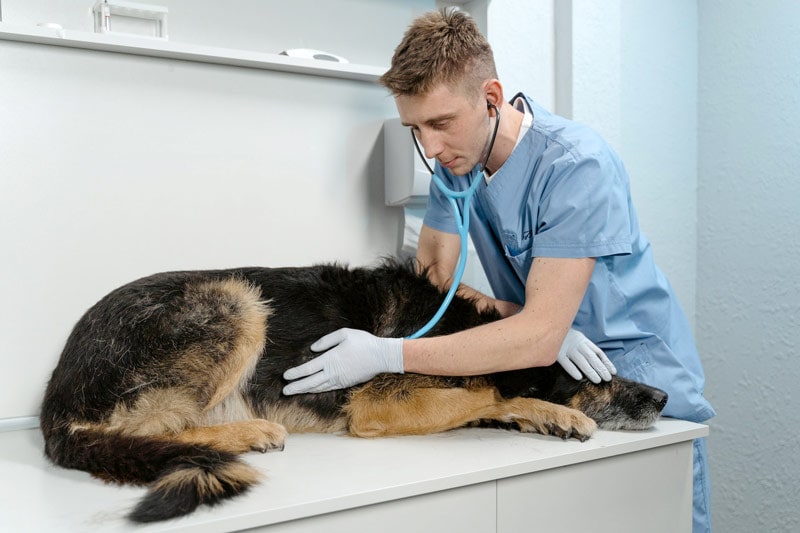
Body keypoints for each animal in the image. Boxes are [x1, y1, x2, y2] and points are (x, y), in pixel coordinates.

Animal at [42, 258, 668, 520]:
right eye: (597, 377)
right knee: (155, 427)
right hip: (237, 300)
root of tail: (54, 405)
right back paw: (248, 432)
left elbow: (486, 400)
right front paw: (553, 410)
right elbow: (489, 392)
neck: (461, 330)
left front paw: (541, 416)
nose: (662, 400)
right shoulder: (380, 403)